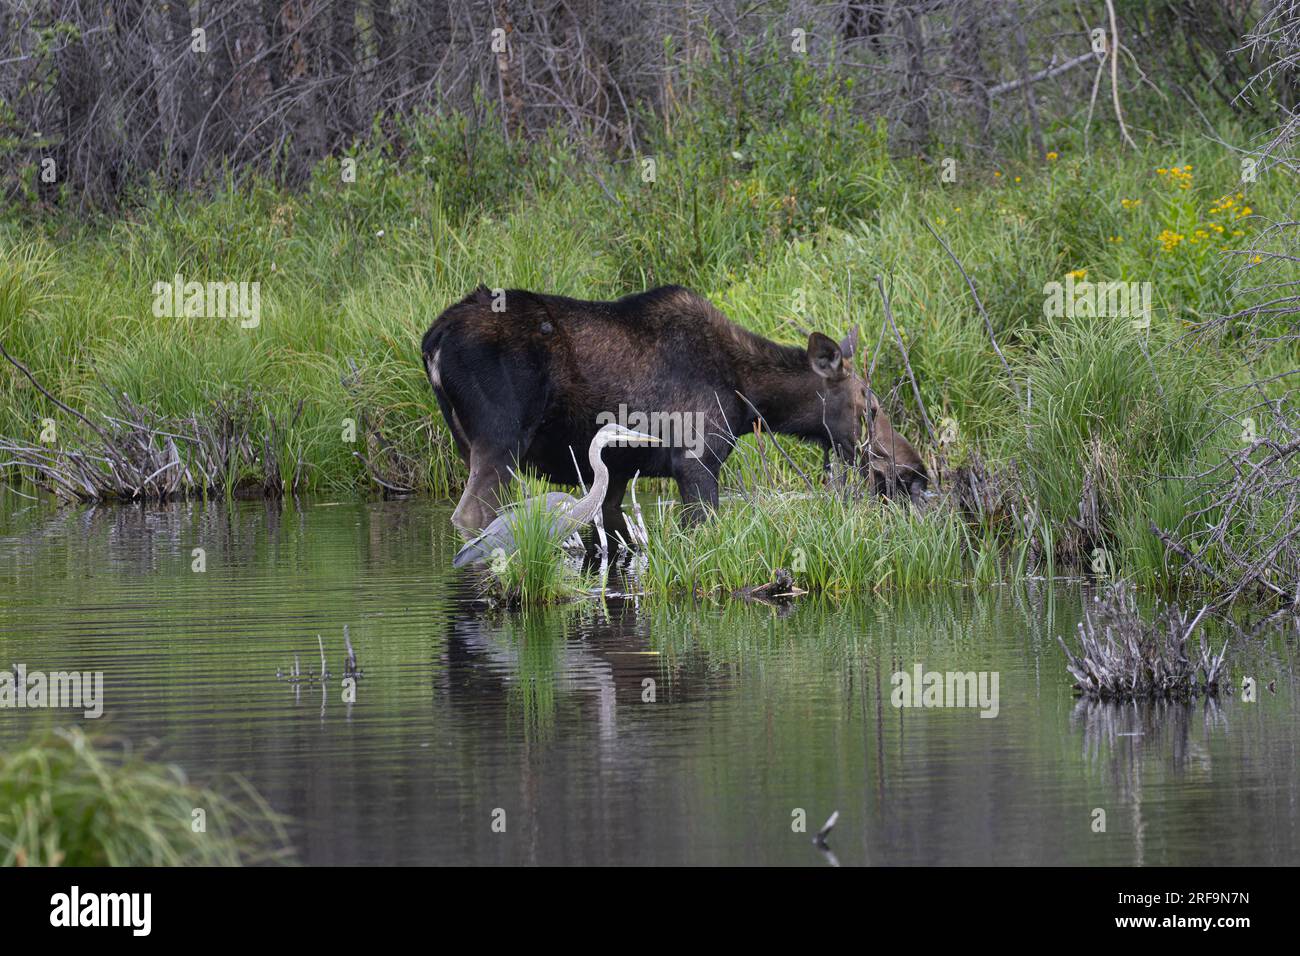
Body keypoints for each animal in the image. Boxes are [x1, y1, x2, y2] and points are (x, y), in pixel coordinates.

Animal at [421, 282, 930, 546]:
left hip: (467, 444)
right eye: (871, 407)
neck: (749, 398)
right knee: (471, 516)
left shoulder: (618, 472)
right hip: (500, 443)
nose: (914, 471)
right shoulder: (697, 463)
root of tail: (432, 340)